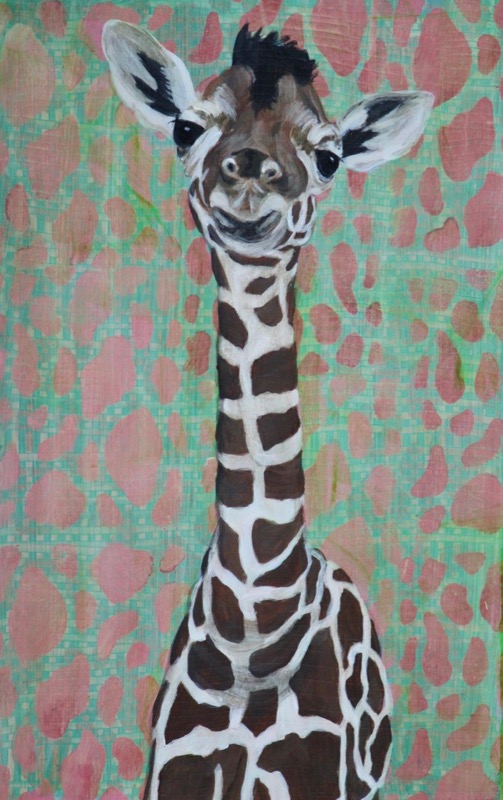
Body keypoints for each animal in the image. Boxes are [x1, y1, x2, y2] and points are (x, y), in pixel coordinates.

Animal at [103, 21, 433, 800]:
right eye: (186, 128)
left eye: (328, 156)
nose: (251, 173)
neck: (253, 624)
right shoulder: (176, 773)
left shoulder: (319, 775)